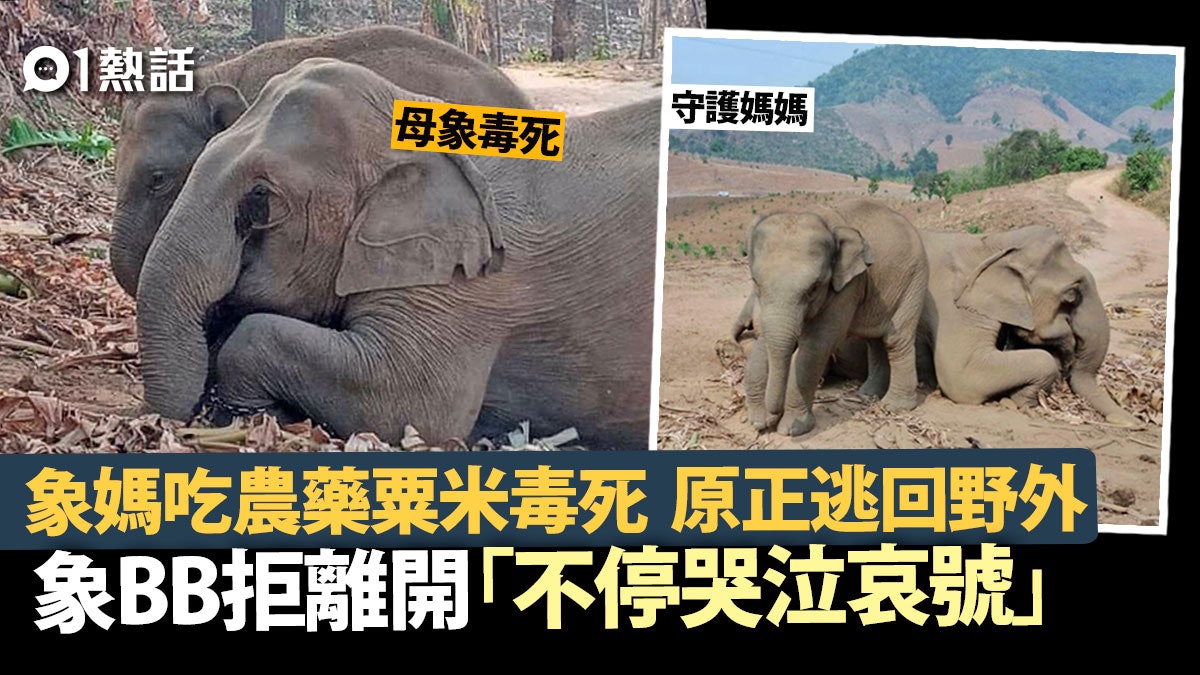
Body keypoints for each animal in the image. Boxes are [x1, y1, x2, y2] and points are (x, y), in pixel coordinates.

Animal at [738, 199, 929, 436]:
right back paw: (868, 395)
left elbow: (817, 345)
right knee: (875, 341)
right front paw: (758, 421)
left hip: (913, 282)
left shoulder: (849, 285)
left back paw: (895, 406)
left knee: (895, 341)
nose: (772, 416)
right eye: (755, 282)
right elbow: (766, 337)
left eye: (814, 288)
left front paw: (793, 428)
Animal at [918, 226, 1140, 426]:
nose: (1137, 423)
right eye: (1072, 295)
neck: (994, 244)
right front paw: (1024, 401)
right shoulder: (953, 306)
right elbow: (963, 377)